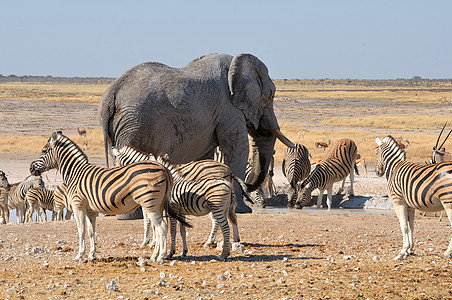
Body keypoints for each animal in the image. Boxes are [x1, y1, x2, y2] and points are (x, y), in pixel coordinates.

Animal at [29, 131, 187, 262]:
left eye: (43, 150)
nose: (31, 168)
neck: (75, 173)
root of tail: (163, 168)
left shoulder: (78, 206)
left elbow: (81, 231)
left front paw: (79, 255)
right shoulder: (91, 210)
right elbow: (91, 232)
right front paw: (92, 255)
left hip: (149, 203)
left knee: (161, 226)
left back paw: (160, 257)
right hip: (158, 204)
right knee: (160, 227)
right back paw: (155, 255)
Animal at [99, 52, 296, 214]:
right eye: (270, 95)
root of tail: (110, 95)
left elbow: (205, 157)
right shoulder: (228, 108)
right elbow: (236, 149)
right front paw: (242, 210)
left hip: (122, 126)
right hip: (134, 124)